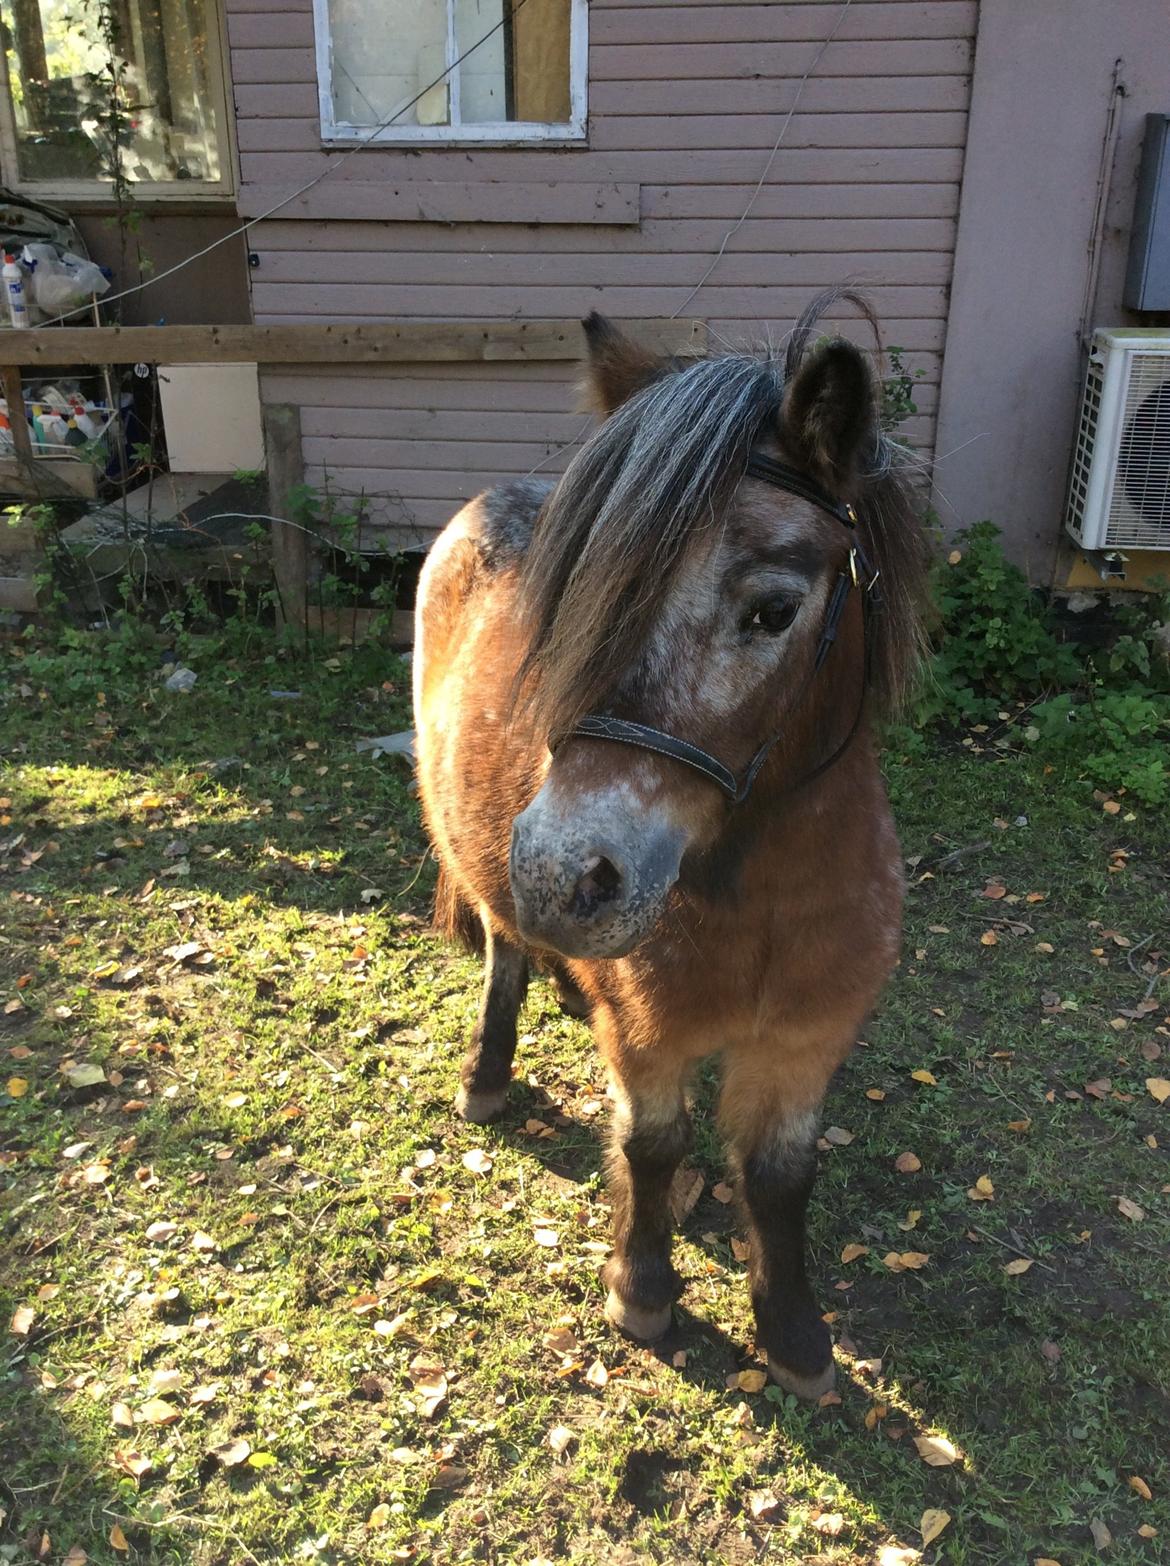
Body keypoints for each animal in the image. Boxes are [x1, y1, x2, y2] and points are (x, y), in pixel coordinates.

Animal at [416, 299, 927, 1403]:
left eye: (773, 609)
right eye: (584, 607)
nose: (564, 873)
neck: (762, 898)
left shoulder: (805, 1044)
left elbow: (780, 1177)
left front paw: (794, 1335)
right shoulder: (649, 1039)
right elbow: (651, 1144)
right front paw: (644, 1289)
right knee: (504, 955)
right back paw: (490, 1068)